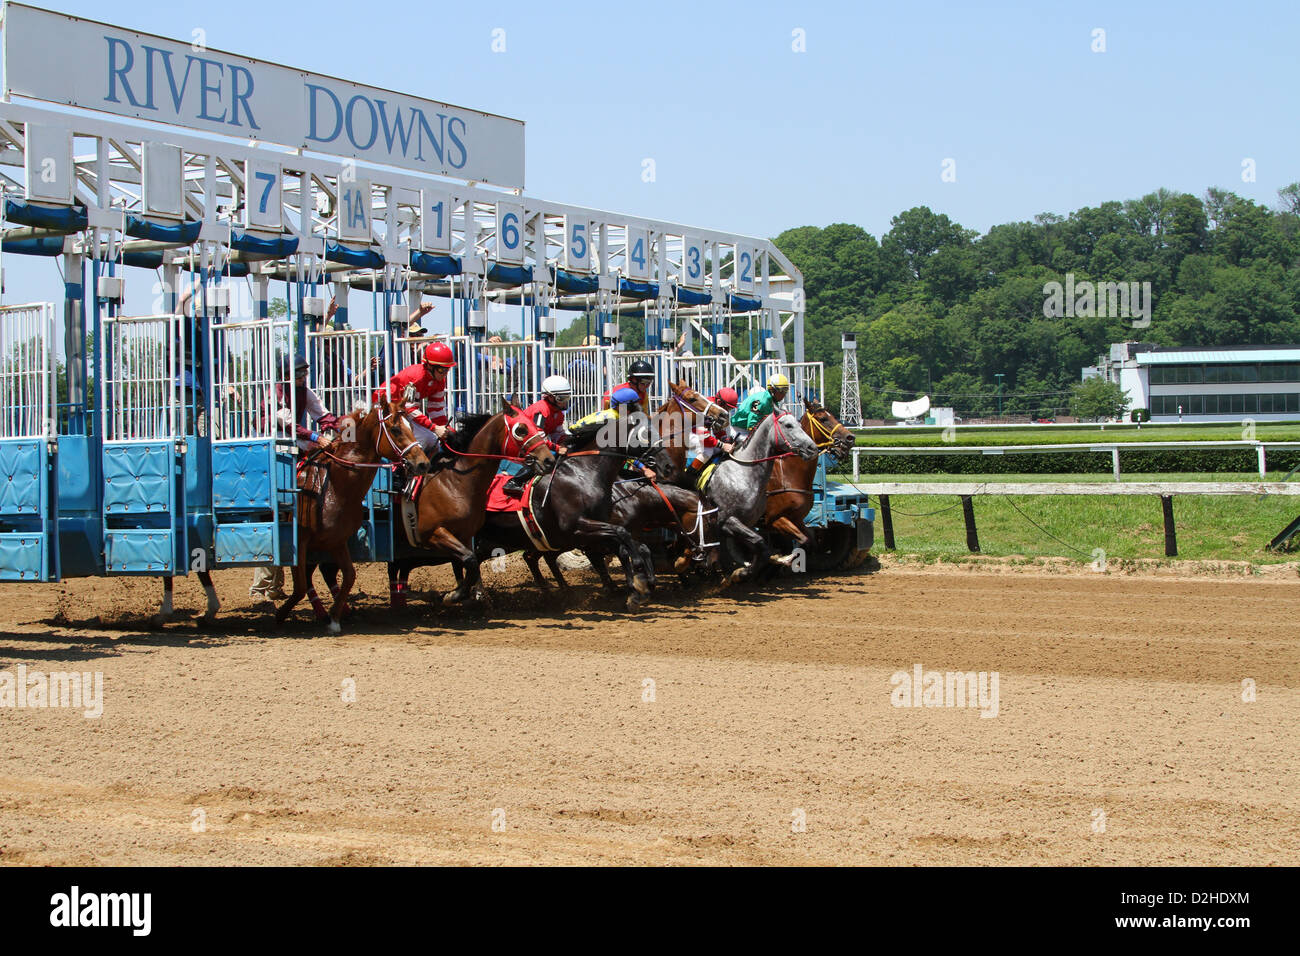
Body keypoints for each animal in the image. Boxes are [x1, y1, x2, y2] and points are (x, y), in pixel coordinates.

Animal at [275, 400, 431, 632]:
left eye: (411, 427)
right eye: (395, 429)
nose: (423, 463)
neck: (333, 486)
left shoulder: (337, 540)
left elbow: (349, 576)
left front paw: (334, 619)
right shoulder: (300, 540)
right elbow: (301, 585)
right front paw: (281, 614)